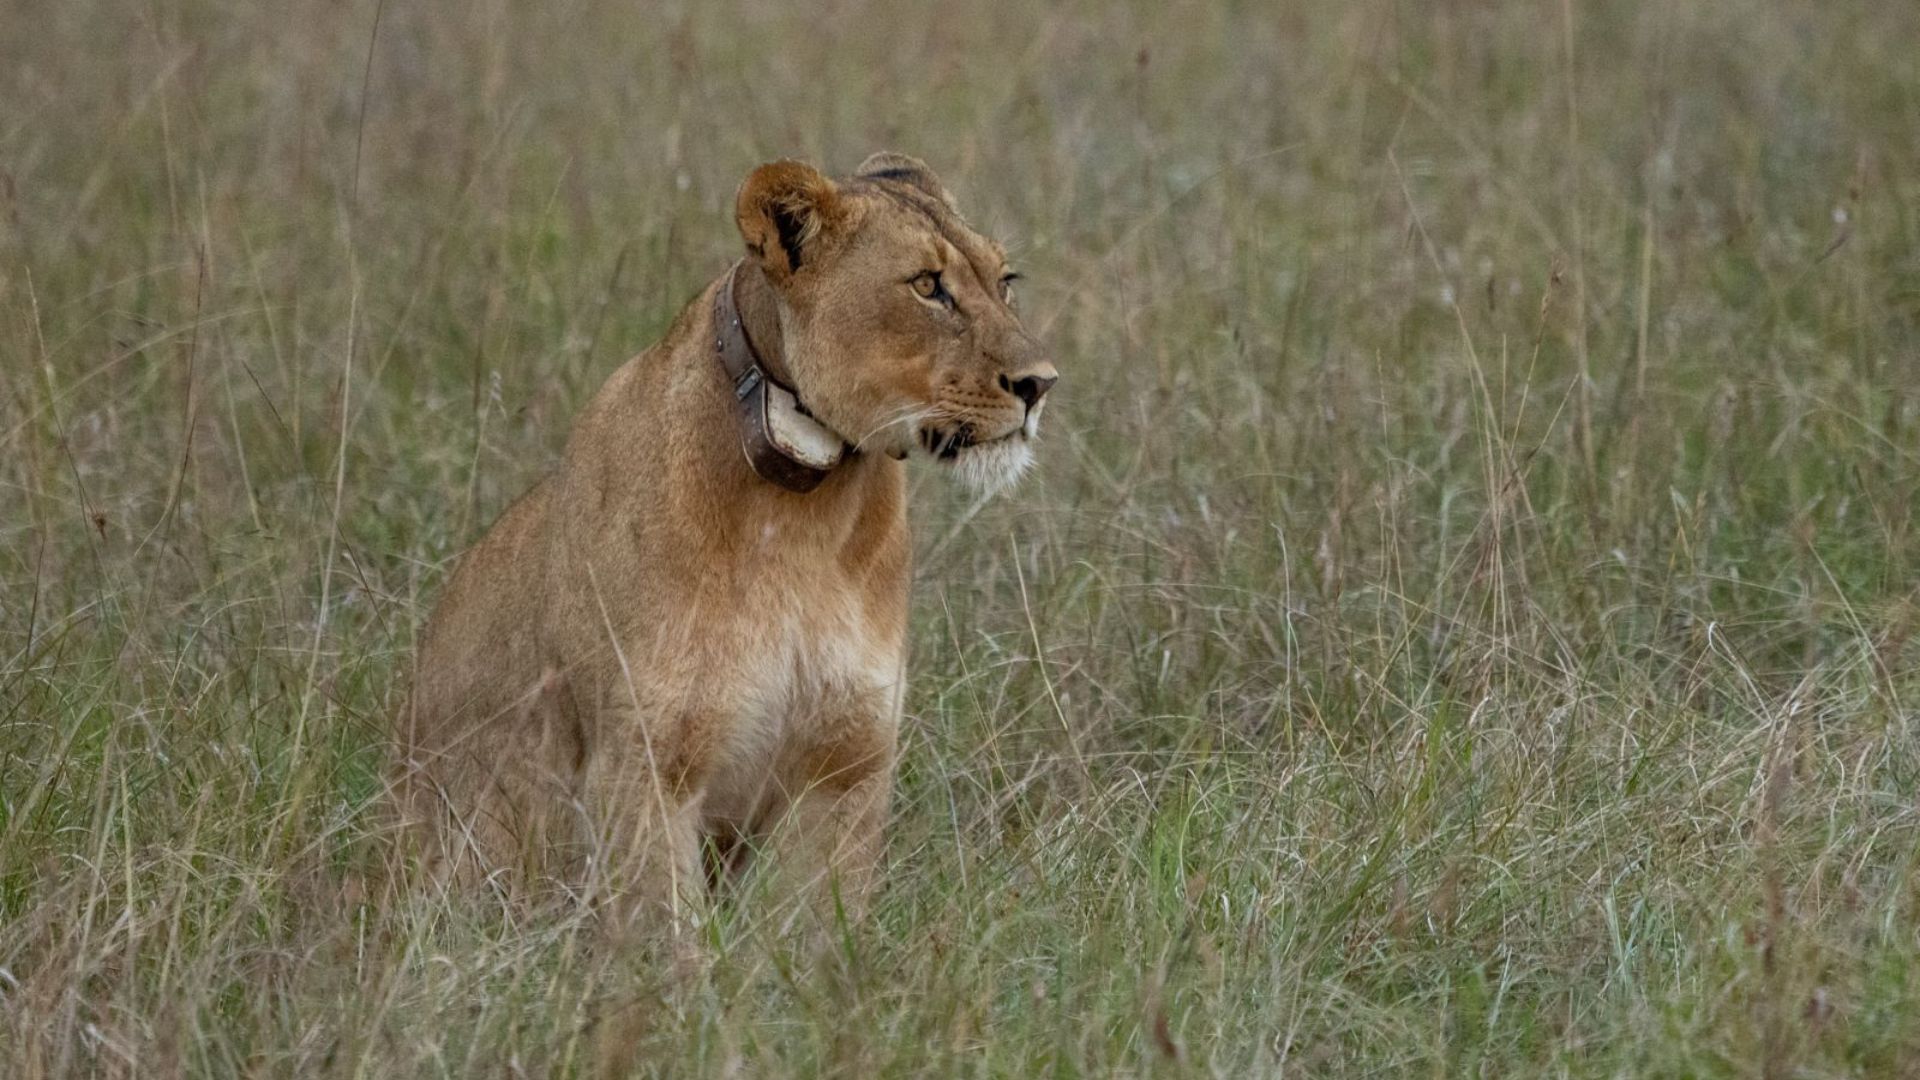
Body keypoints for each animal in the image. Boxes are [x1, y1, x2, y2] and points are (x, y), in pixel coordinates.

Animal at [394, 153, 1056, 936]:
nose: (1041, 384)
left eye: (1004, 280)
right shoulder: (645, 767)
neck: (805, 513)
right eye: (928, 286)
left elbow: (813, 933)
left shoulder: (846, 765)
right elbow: (662, 939)